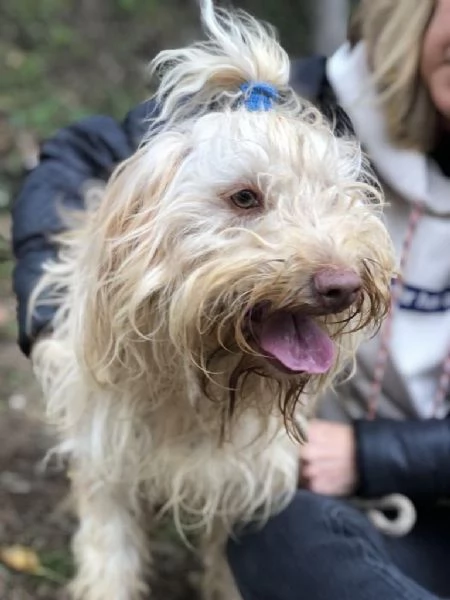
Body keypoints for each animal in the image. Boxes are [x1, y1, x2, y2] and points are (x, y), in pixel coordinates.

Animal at [30, 1, 394, 600]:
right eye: (244, 197)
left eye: (339, 197)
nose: (342, 284)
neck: (198, 382)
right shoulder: (106, 464)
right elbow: (110, 559)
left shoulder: (243, 485)